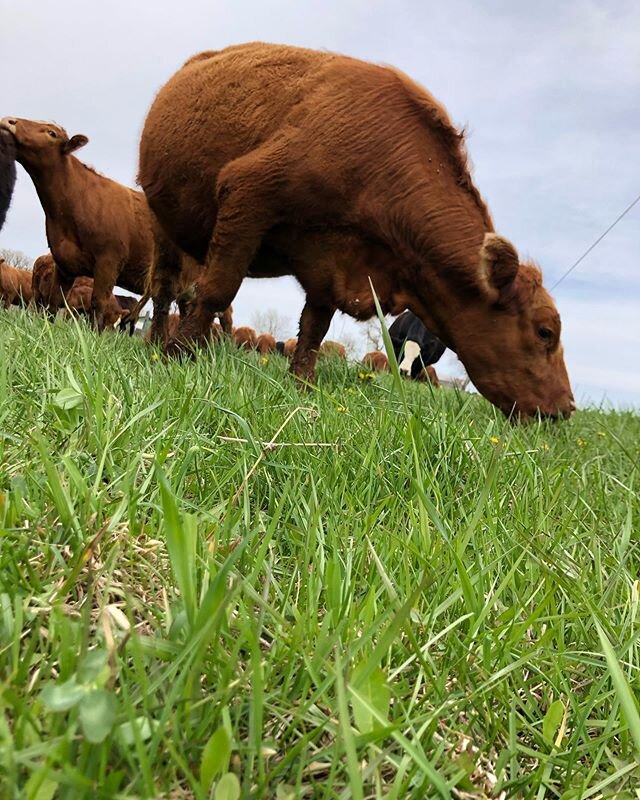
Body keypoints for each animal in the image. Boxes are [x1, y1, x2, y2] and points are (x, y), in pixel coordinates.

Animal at [0, 117, 160, 330]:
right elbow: (54, 302)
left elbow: (98, 304)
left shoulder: (108, 262)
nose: (9, 120)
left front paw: (94, 335)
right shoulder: (64, 264)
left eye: (51, 133)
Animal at [139, 42, 576, 418]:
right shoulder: (249, 193)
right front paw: (177, 355)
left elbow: (314, 329)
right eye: (544, 331)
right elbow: (218, 290)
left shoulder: (331, 264)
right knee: (166, 291)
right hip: (163, 226)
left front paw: (302, 386)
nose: (568, 407)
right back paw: (158, 343)